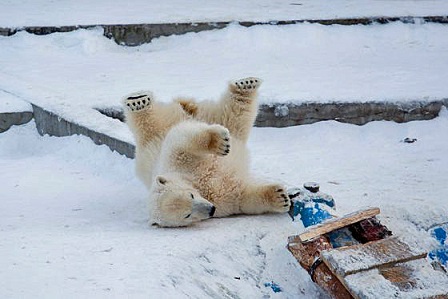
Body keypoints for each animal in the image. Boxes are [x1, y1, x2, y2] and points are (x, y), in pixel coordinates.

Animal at [122, 77, 290, 227]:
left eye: (190, 195)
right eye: (187, 215)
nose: (210, 210)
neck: (199, 186)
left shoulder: (175, 160)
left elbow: (181, 138)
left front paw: (218, 142)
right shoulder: (222, 201)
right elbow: (242, 197)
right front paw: (279, 197)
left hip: (162, 128)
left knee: (149, 123)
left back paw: (138, 100)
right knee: (234, 116)